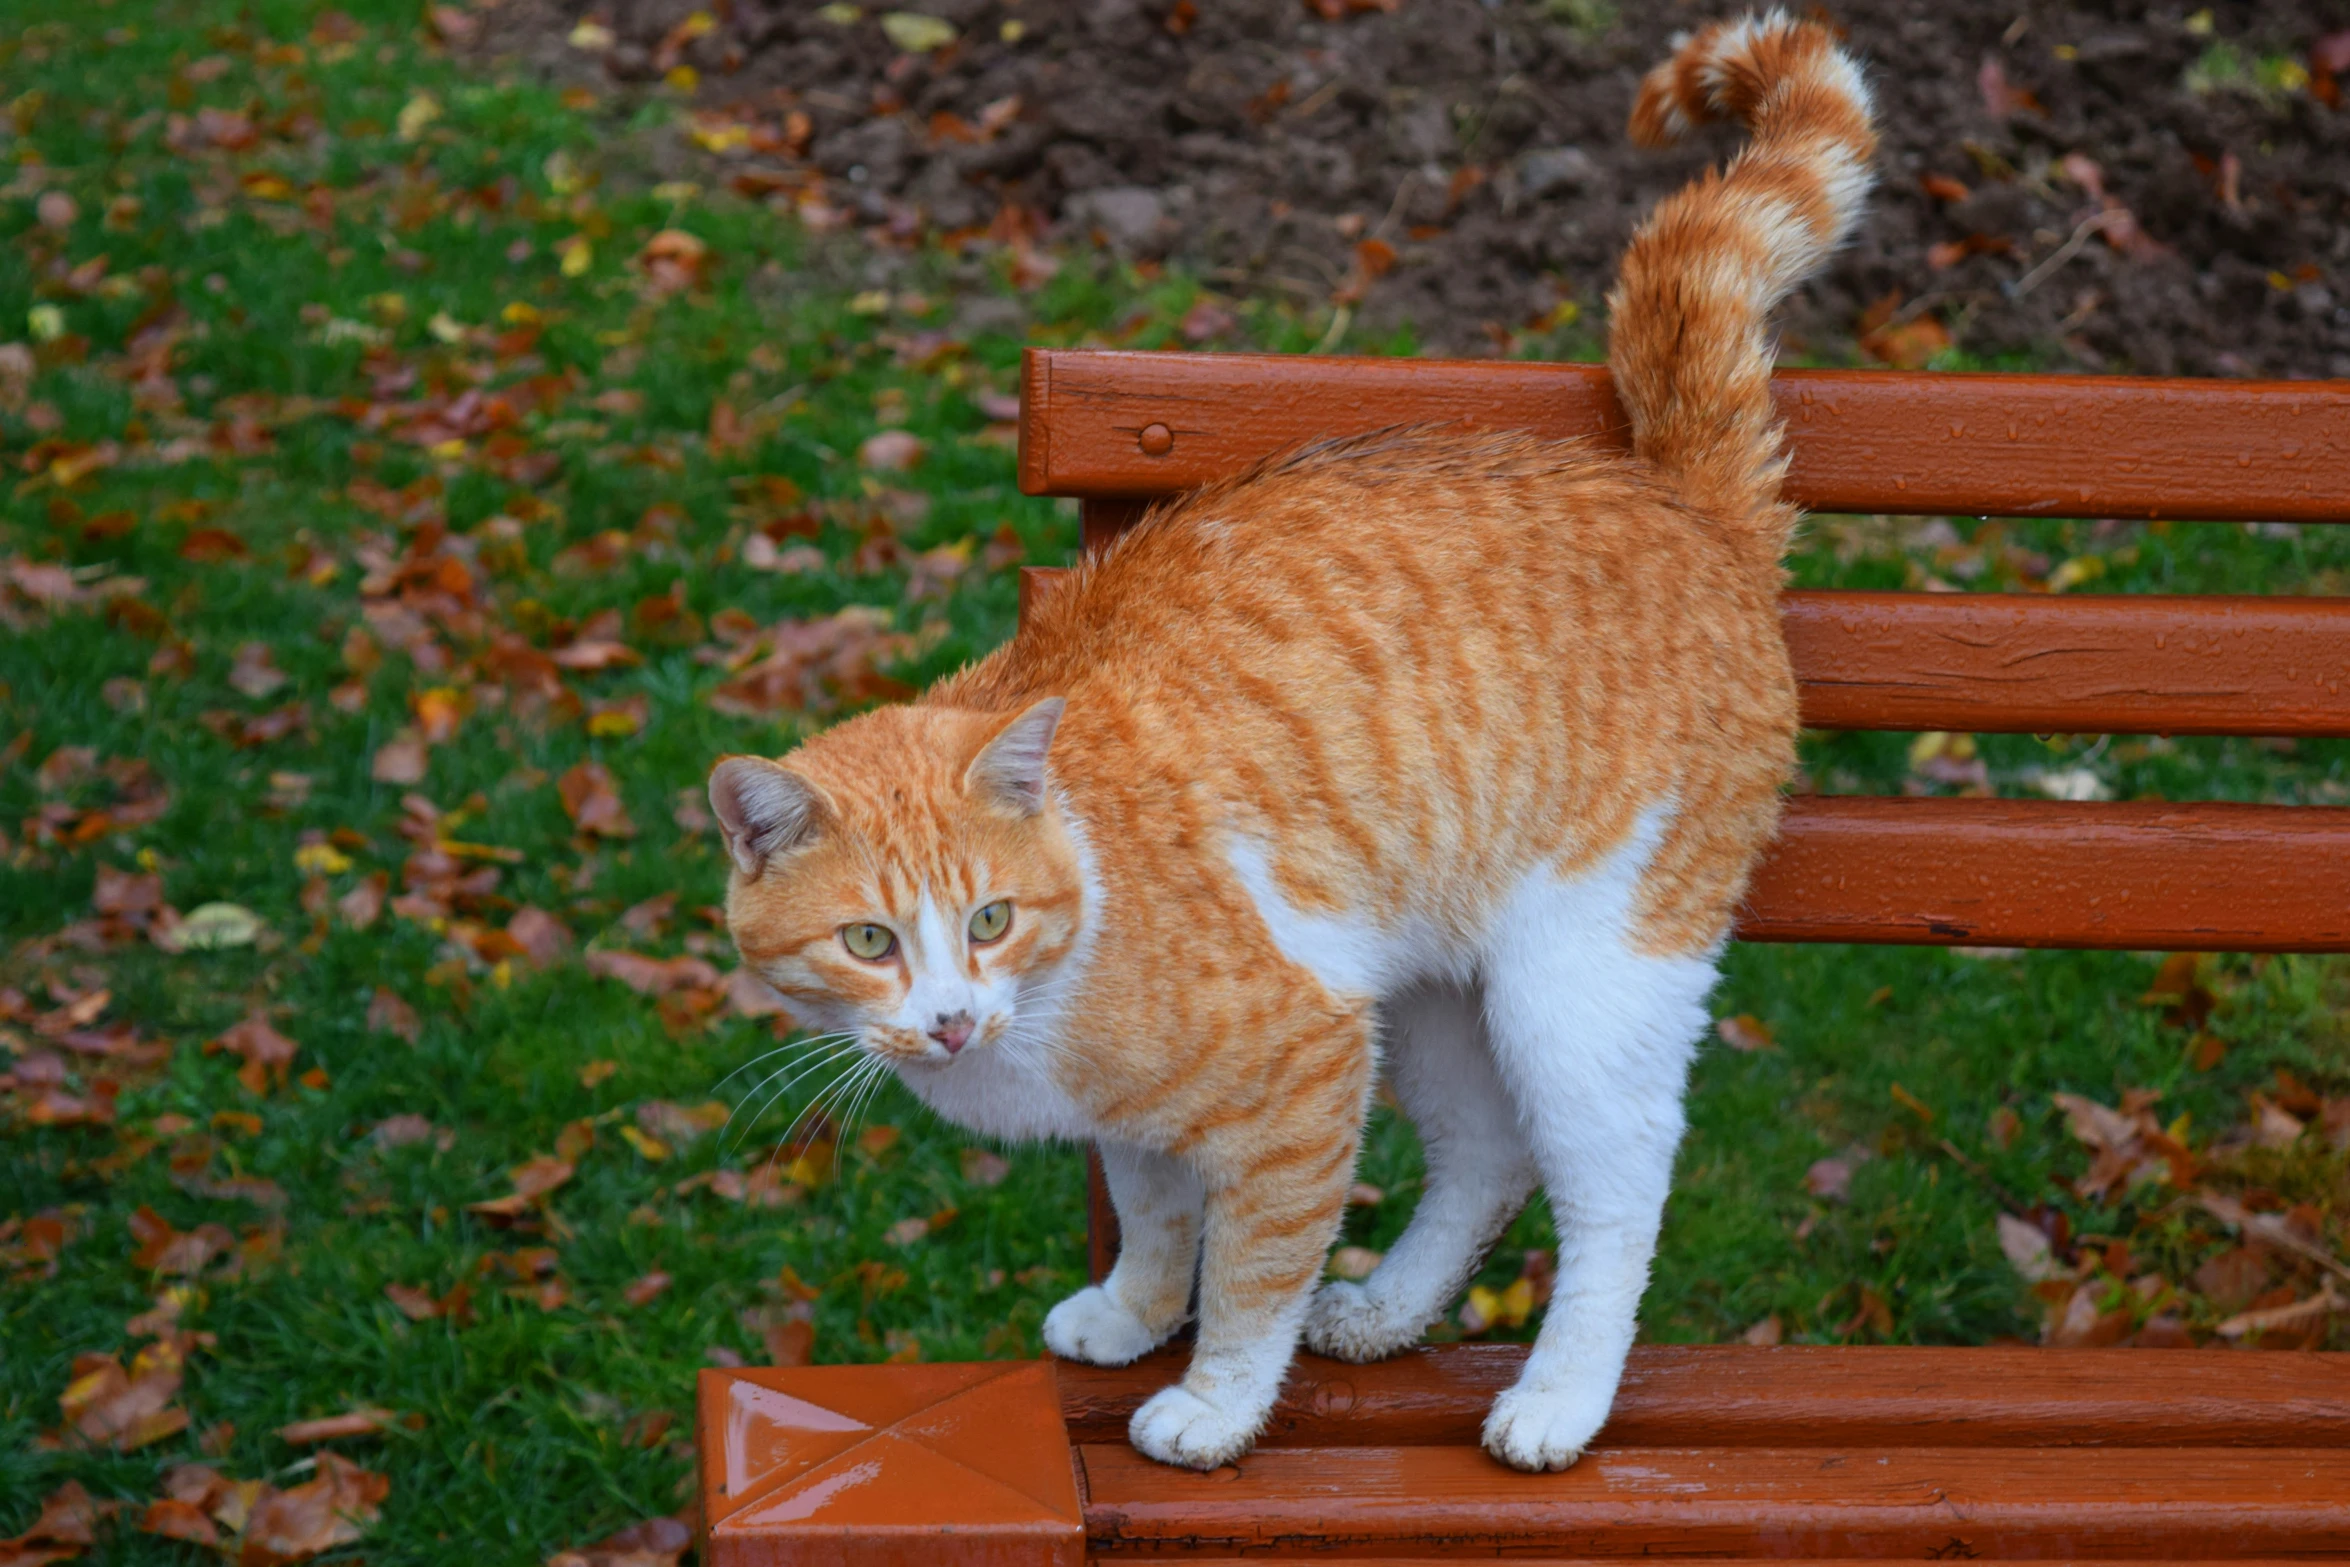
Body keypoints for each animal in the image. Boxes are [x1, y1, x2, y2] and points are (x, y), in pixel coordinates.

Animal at [705, 12, 1879, 1475]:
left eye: (986, 919)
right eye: (869, 939)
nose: (950, 1016)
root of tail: (1681, 498)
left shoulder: (1305, 1063)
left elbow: (1253, 1269)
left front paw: (1212, 1402)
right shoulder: (1164, 1106)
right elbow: (1158, 1213)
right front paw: (1132, 1309)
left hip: (1581, 980)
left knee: (1614, 1190)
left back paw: (1559, 1394)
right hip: (1433, 990)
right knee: (1485, 1156)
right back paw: (1386, 1309)